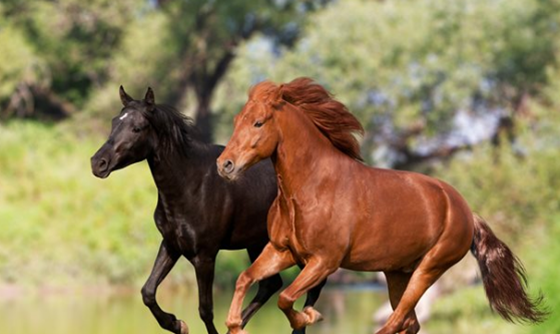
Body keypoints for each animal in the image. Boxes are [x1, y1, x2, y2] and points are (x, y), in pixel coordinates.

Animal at [88, 87, 324, 334]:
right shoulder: (171, 244)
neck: (191, 185)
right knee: (271, 285)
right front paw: (177, 324)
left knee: (312, 284)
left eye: (137, 128)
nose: (98, 162)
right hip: (257, 244)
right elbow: (148, 292)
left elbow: (205, 309)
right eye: (114, 122)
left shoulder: (205, 255)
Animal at [217, 77, 544, 332]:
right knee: (408, 323)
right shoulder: (281, 251)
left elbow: (285, 298)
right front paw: (236, 324)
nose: (225, 165)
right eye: (235, 121)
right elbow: (245, 279)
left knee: (396, 321)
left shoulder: (324, 261)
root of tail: (465, 210)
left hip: (428, 269)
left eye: (258, 122)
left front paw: (309, 316)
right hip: (396, 273)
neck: (311, 189)